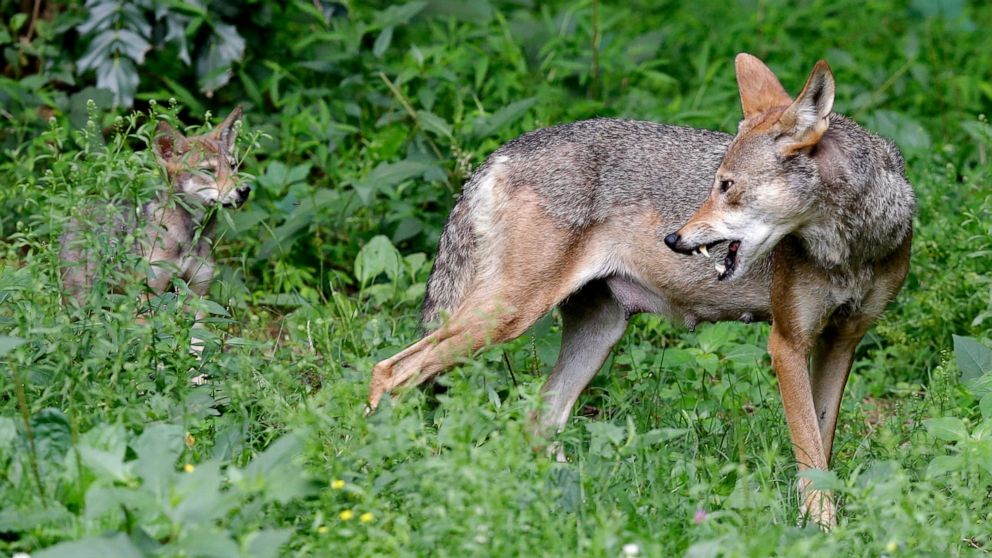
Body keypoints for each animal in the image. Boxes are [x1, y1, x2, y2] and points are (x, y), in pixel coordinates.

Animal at [370, 53, 916, 528]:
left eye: (726, 186)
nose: (674, 238)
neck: (854, 246)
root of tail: (501, 152)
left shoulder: (842, 341)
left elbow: (821, 445)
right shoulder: (786, 343)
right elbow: (809, 450)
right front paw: (821, 529)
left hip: (597, 334)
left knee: (538, 421)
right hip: (504, 320)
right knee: (389, 371)